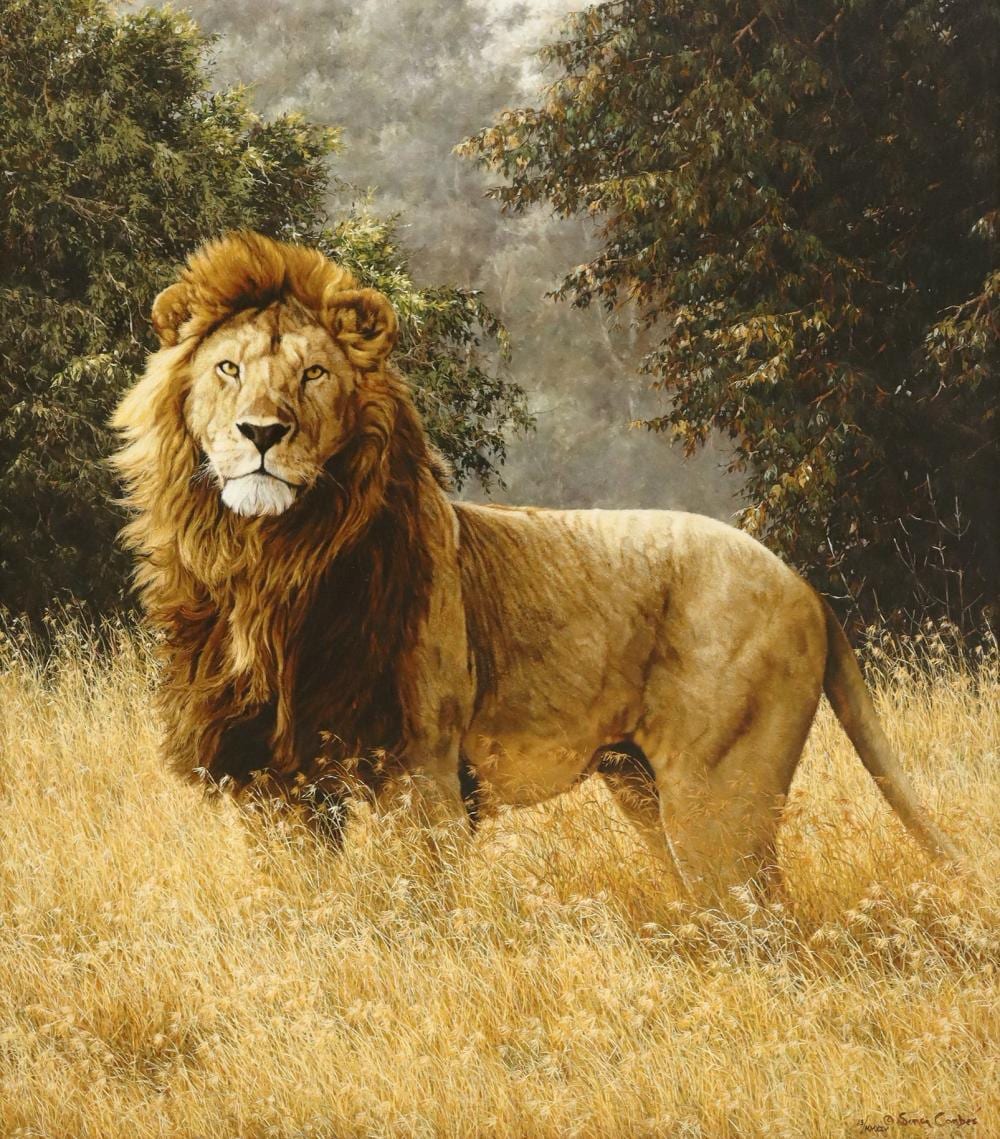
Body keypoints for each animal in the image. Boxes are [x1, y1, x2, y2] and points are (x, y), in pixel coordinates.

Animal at [112, 230, 960, 901]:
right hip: (647, 789)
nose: (261, 432)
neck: (271, 561)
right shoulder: (273, 783)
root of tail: (806, 586)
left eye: (314, 374)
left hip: (722, 797)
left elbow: (410, 909)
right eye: (227, 369)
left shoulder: (420, 774)